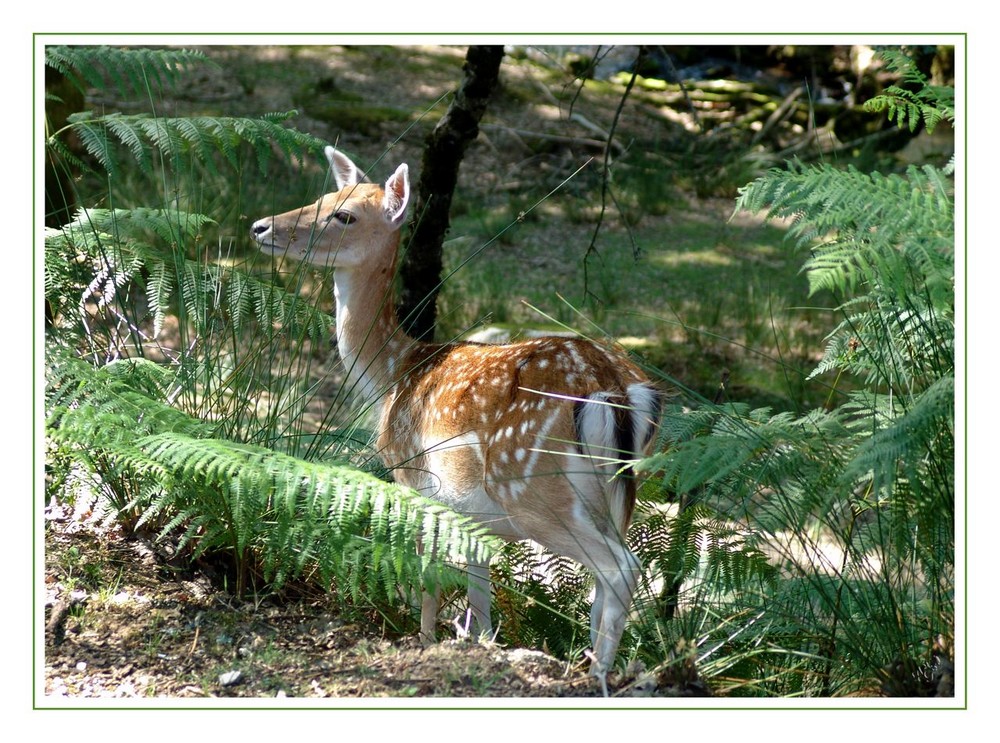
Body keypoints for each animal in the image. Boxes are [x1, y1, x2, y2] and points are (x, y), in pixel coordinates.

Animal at [250, 145, 660, 692]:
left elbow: (426, 572)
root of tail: (609, 387)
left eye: (345, 215)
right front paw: (481, 648)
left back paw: (594, 677)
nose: (260, 227)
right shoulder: (475, 518)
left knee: (620, 569)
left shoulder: (415, 480)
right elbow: (480, 600)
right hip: (617, 498)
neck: (394, 374)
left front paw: (424, 642)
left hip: (533, 489)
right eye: (321, 198)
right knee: (605, 582)